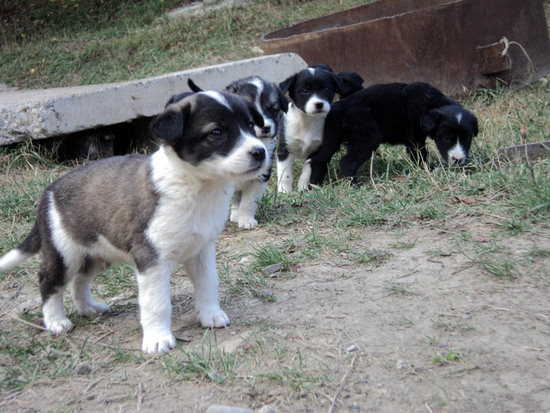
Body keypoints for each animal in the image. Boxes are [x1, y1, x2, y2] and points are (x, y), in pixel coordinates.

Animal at [0, 91, 270, 352]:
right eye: (217, 132)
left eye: (249, 125)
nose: (260, 152)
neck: (195, 185)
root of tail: (49, 192)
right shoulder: (151, 260)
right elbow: (157, 304)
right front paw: (158, 339)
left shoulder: (202, 250)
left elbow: (208, 284)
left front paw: (211, 316)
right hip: (64, 254)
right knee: (49, 283)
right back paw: (56, 321)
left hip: (96, 253)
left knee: (79, 280)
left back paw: (88, 308)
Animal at [310, 81, 478, 184]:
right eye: (446, 138)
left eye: (467, 139)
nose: (458, 160)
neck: (431, 103)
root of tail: (339, 108)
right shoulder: (414, 137)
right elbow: (419, 155)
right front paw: (428, 169)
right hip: (368, 138)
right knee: (347, 162)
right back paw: (354, 184)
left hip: (332, 140)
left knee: (319, 161)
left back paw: (314, 185)